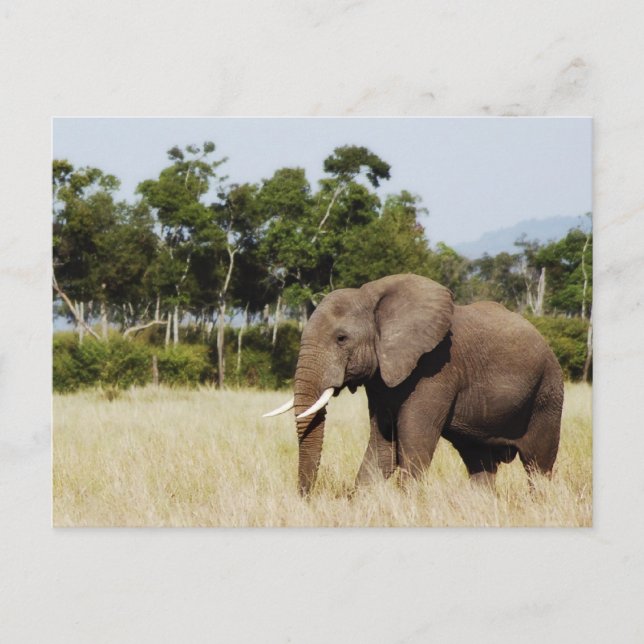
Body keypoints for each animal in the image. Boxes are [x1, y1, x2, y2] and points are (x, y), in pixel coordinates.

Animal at [264, 273, 564, 496]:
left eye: (341, 338)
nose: (305, 498)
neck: (372, 298)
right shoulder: (382, 380)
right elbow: (383, 446)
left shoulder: (436, 369)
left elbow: (414, 445)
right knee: (480, 462)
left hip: (547, 393)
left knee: (538, 465)